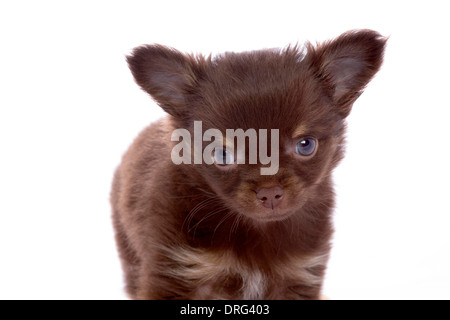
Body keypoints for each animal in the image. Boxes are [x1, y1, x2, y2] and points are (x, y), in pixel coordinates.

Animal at [110, 28, 384, 298]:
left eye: (305, 145)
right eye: (223, 155)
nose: (270, 192)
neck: (257, 231)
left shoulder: (298, 275)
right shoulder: (177, 269)